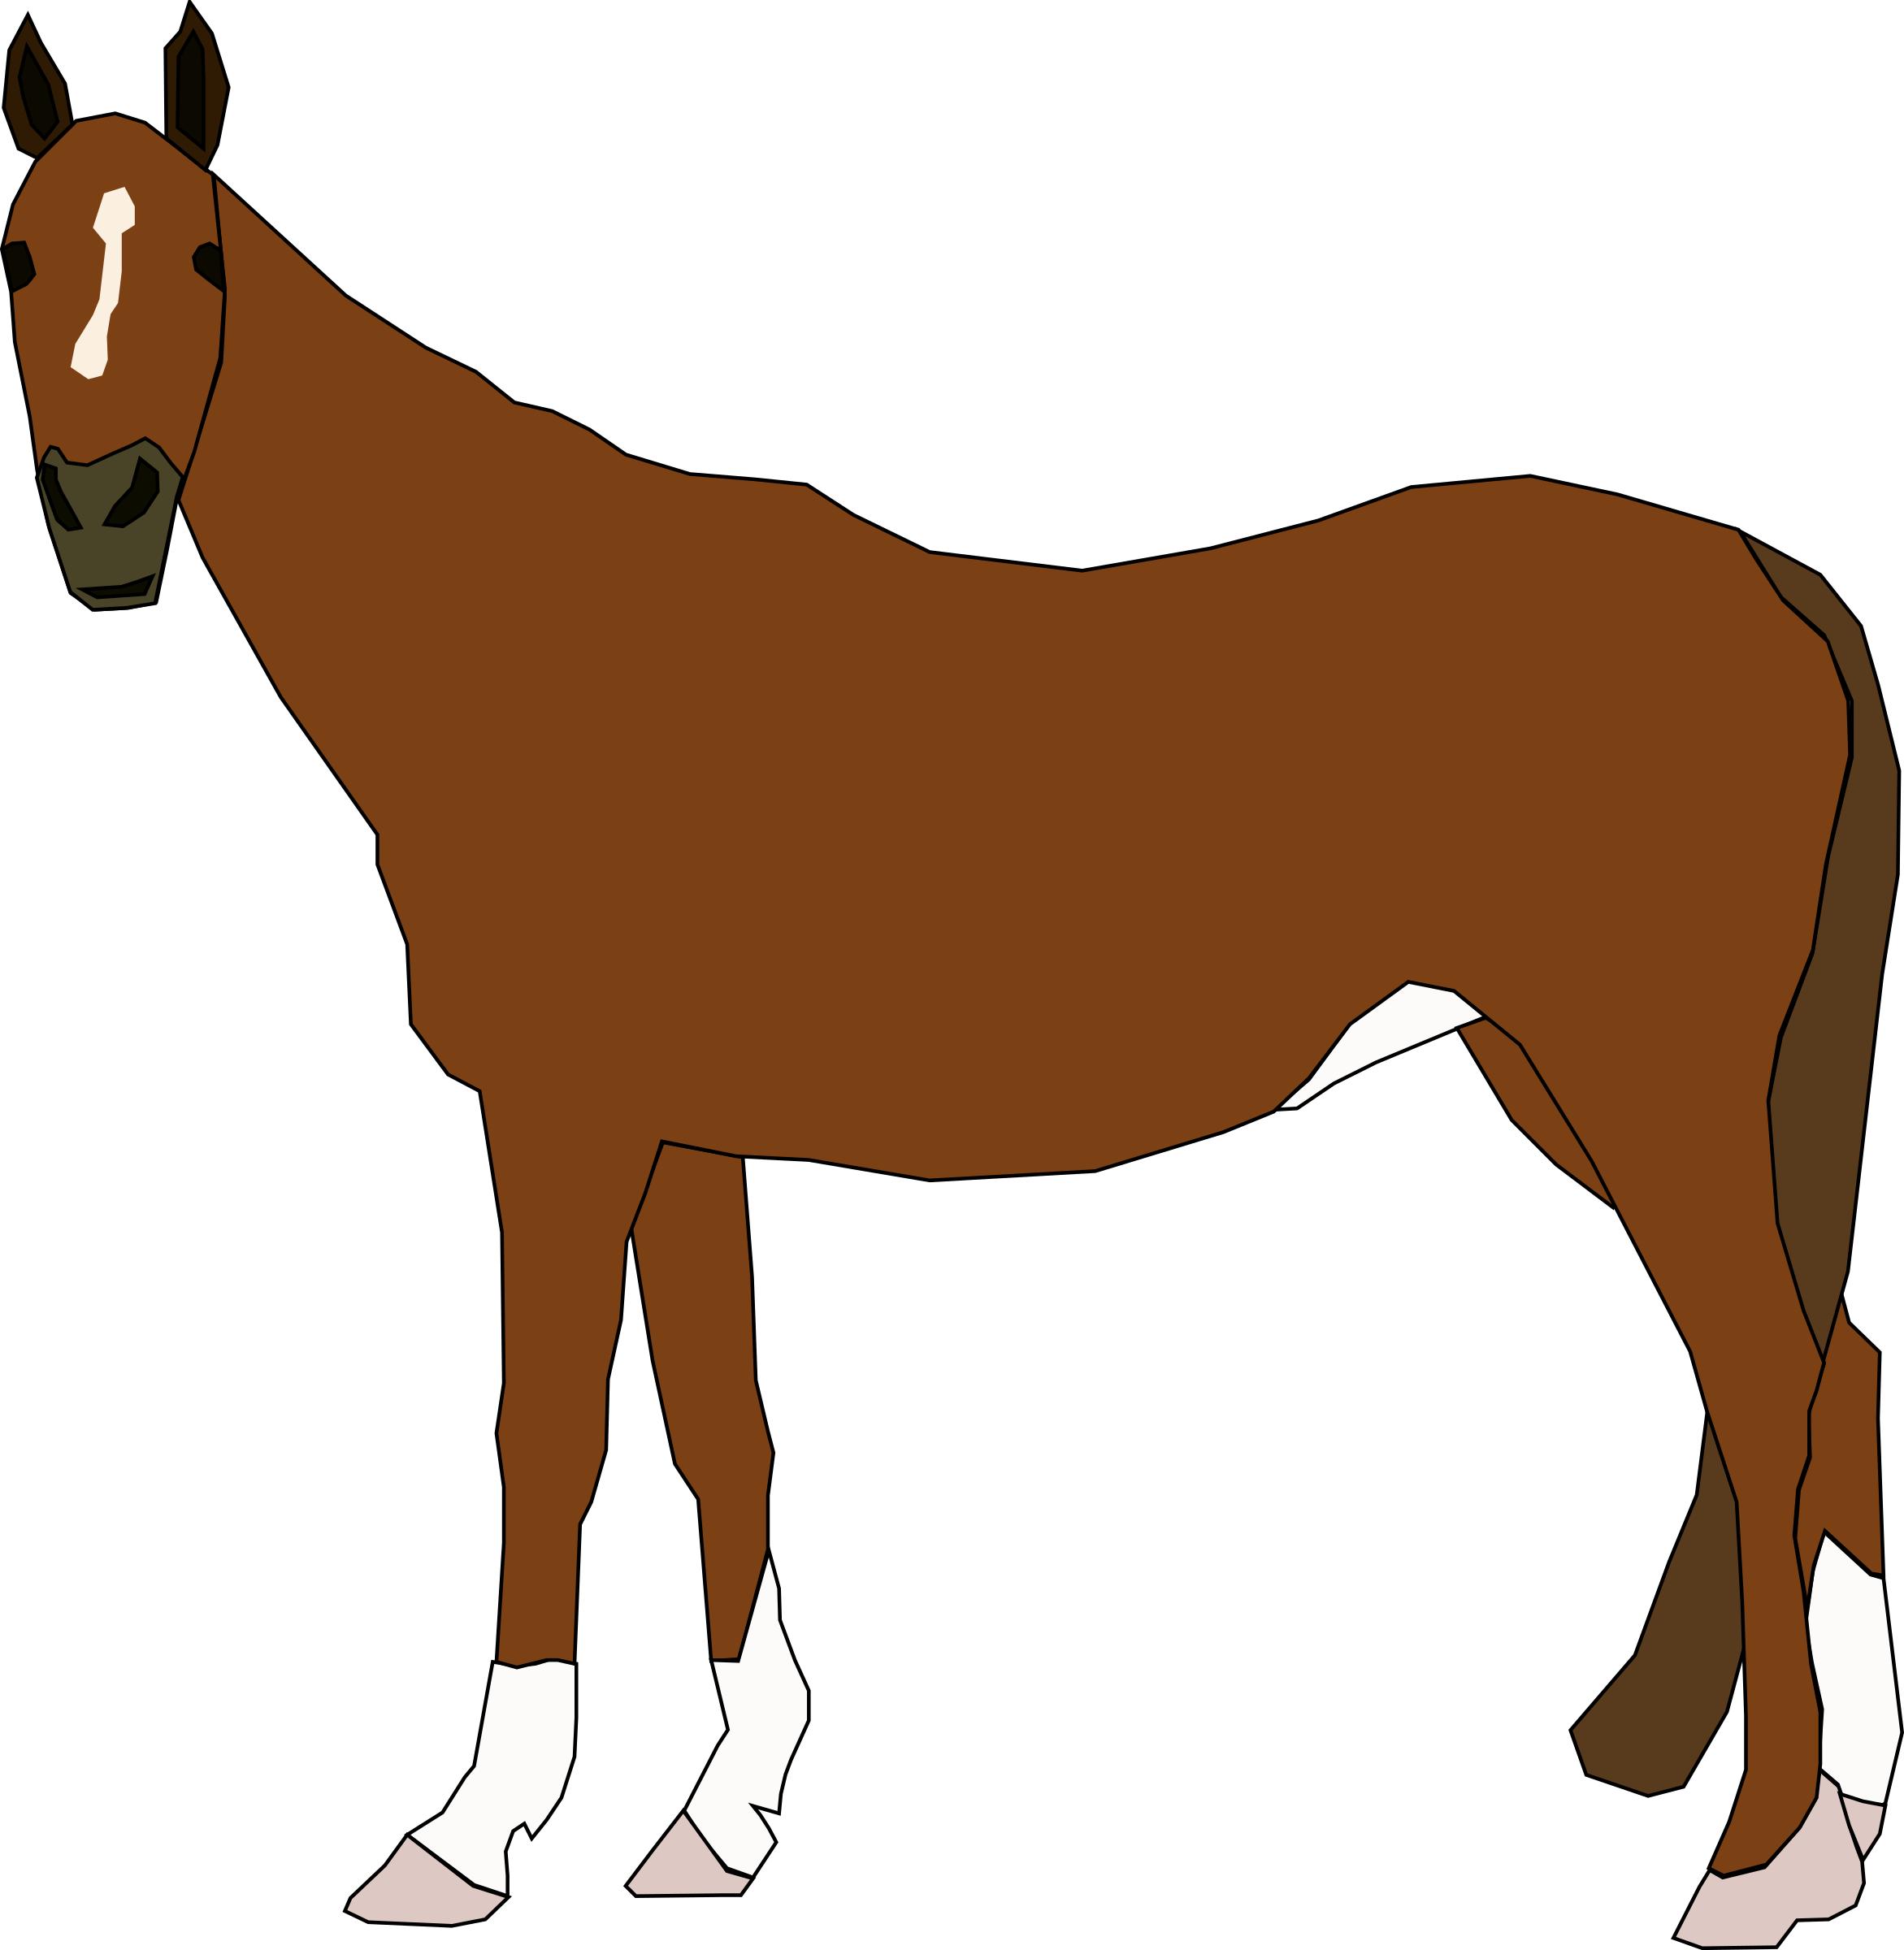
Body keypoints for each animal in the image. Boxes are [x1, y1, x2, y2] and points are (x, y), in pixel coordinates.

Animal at [5, 10, 1897, 1941]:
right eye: (19, 255)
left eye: (203, 259)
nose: (105, 520)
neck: (527, 642)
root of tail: (1763, 571)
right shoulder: (682, 1132)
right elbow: (722, 1432)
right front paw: (727, 1810)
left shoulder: (561, 1120)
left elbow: (550, 1438)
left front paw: (468, 1830)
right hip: (1574, 1082)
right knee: (1838, 1375)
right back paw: (1839, 1816)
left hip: (1640, 1080)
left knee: (1769, 1389)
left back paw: (1757, 1856)